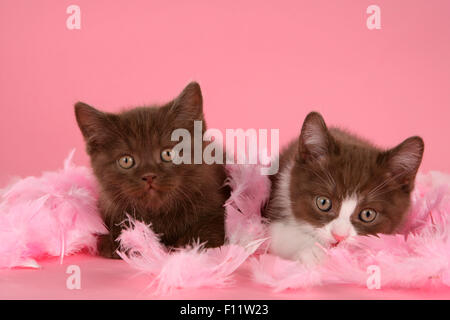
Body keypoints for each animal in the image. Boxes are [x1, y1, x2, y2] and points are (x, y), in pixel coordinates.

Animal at [75, 82, 229, 258]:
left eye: (168, 153)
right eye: (126, 161)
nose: (149, 176)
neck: (159, 215)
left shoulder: (217, 209)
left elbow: (211, 228)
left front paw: (192, 245)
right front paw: (118, 241)